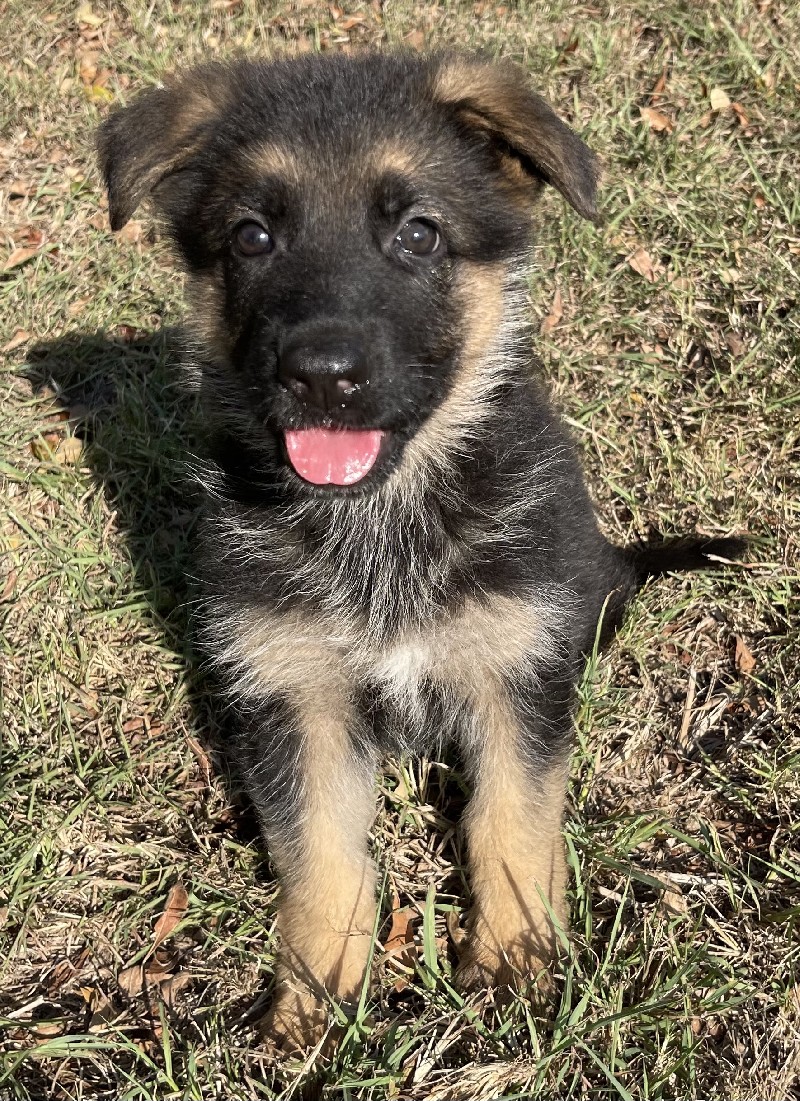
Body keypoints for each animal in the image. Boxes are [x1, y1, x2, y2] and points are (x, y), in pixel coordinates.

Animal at [98, 51, 743, 1048]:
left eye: (418, 235)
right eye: (251, 236)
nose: (321, 376)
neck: (381, 518)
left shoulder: (515, 674)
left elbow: (508, 822)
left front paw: (517, 959)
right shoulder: (295, 697)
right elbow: (321, 853)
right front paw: (317, 994)